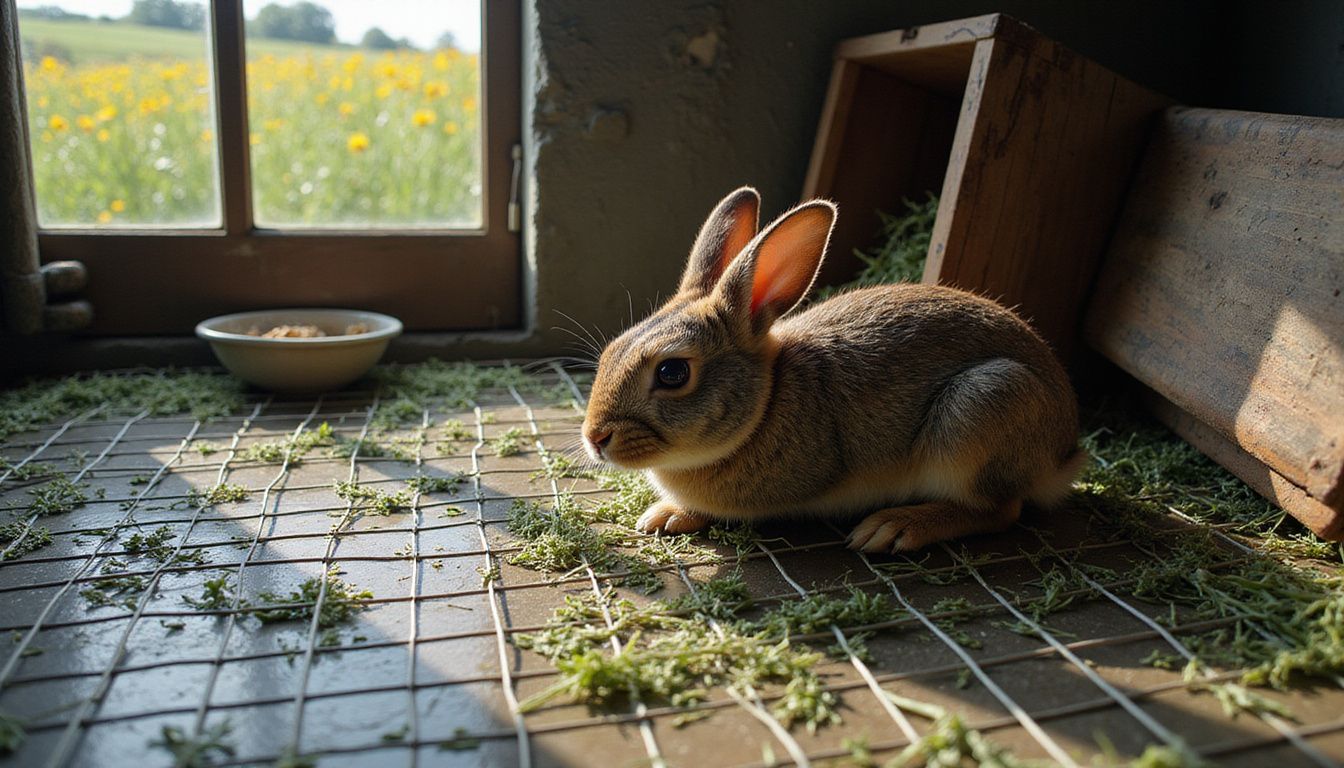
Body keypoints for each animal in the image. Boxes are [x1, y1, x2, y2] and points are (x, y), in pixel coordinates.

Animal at [580, 187, 1085, 552]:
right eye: (610, 352)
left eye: (672, 373)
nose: (595, 438)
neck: (765, 405)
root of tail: (1064, 453)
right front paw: (664, 516)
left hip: (979, 410)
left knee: (1000, 510)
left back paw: (893, 529)